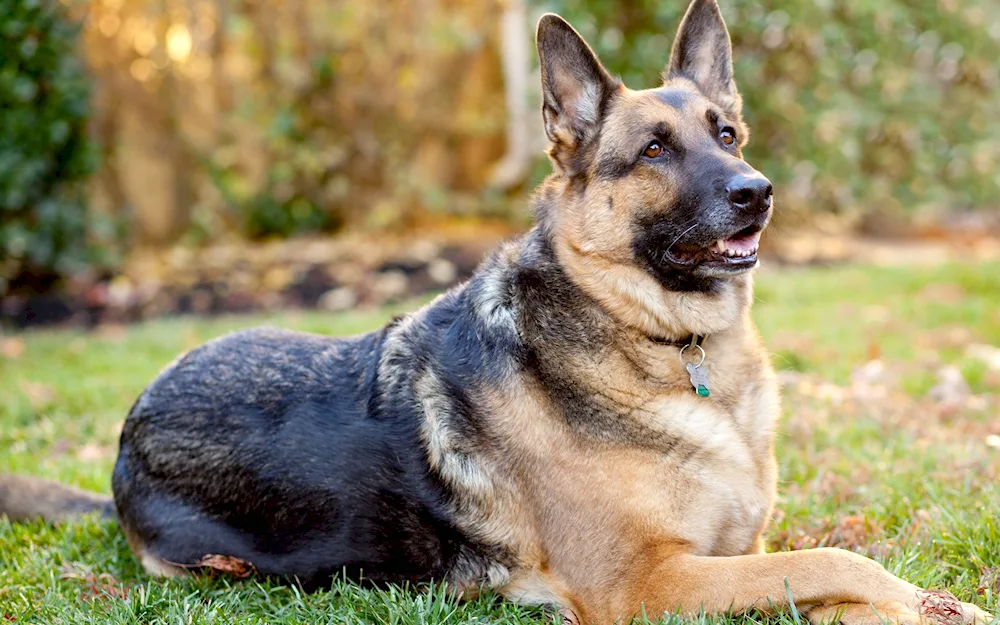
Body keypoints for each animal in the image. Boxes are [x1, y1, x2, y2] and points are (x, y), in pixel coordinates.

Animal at [3, 2, 996, 620]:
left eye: (725, 134)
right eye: (653, 151)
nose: (757, 193)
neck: (669, 346)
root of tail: (126, 430)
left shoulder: (737, 551)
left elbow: (835, 573)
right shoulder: (650, 582)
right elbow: (838, 559)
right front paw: (942, 603)